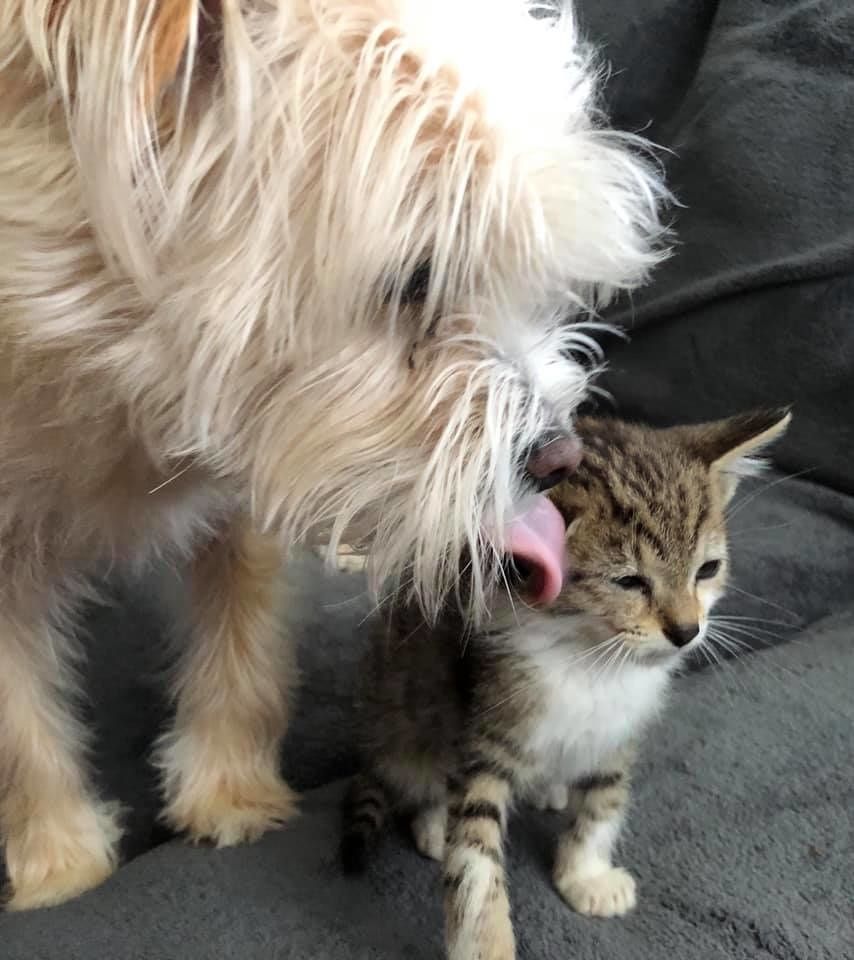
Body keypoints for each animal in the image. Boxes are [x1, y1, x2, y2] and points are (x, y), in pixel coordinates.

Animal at [0, 0, 668, 912]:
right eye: (417, 279)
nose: (557, 458)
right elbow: (18, 728)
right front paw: (58, 863)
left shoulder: (244, 498)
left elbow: (246, 646)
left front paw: (230, 794)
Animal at [340, 410, 788, 960]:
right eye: (629, 581)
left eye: (707, 570)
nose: (687, 631)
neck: (588, 657)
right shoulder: (485, 727)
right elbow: (474, 855)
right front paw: (486, 942)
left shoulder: (620, 730)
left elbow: (604, 799)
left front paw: (587, 876)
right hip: (404, 695)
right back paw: (433, 820)